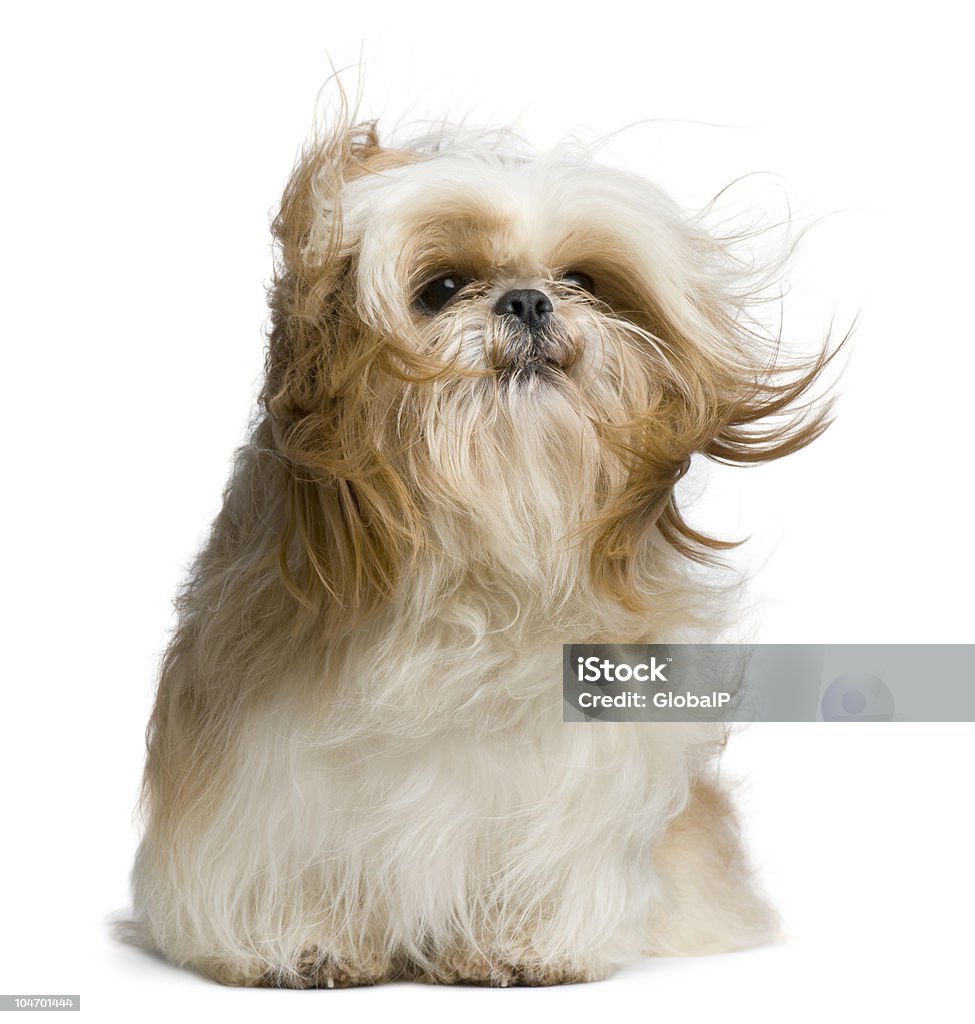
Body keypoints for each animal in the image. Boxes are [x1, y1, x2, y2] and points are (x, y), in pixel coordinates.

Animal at [129, 110, 839, 983]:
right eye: (439, 289)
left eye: (581, 280)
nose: (527, 300)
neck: (481, 565)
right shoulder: (261, 766)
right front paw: (305, 941)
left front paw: (517, 944)